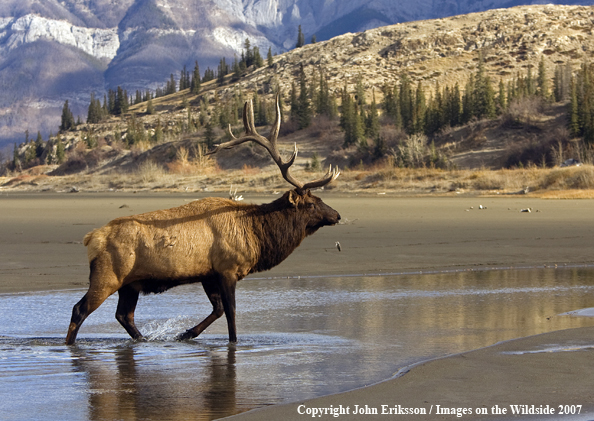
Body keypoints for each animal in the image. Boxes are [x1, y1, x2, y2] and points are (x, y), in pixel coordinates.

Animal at [64, 95, 338, 344]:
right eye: (312, 203)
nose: (337, 215)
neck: (256, 235)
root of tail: (91, 238)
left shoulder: (208, 274)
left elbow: (218, 310)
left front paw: (185, 333)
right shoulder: (227, 268)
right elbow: (231, 313)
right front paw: (231, 342)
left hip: (130, 284)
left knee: (124, 315)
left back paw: (143, 339)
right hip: (107, 275)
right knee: (80, 309)